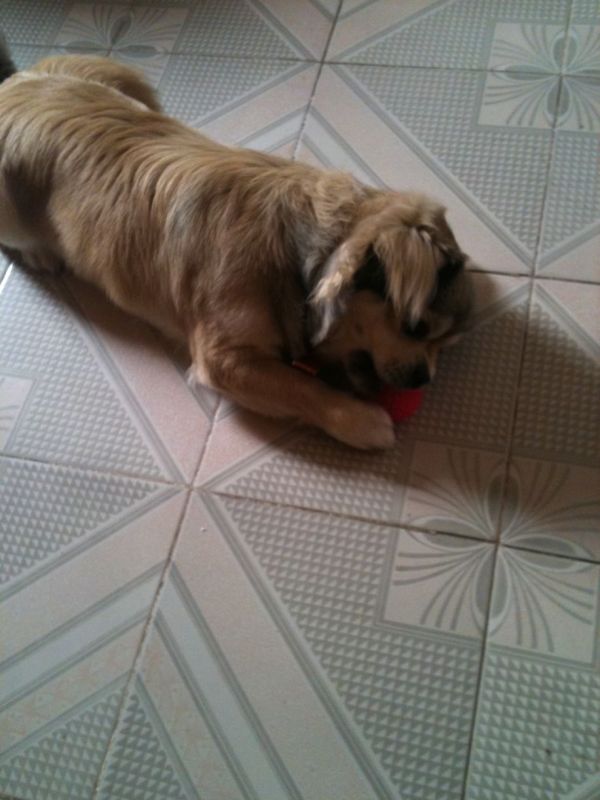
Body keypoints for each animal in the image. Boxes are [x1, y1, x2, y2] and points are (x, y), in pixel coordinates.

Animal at [0, 49, 474, 449]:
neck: (294, 252)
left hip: (114, 75)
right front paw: (362, 421)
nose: (424, 378)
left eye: (446, 342)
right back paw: (42, 254)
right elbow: (302, 386)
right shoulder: (223, 360)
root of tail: (16, 84)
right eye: (416, 330)